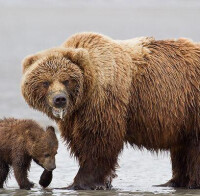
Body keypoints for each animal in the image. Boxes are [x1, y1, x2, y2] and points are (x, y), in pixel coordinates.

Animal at [21, 32, 200, 190]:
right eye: (45, 82)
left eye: (66, 80)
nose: (60, 99)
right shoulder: (75, 116)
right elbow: (79, 142)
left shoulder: (103, 102)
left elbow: (99, 142)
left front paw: (79, 183)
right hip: (182, 116)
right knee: (181, 149)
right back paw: (173, 182)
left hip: (191, 104)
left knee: (193, 148)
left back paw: (190, 183)